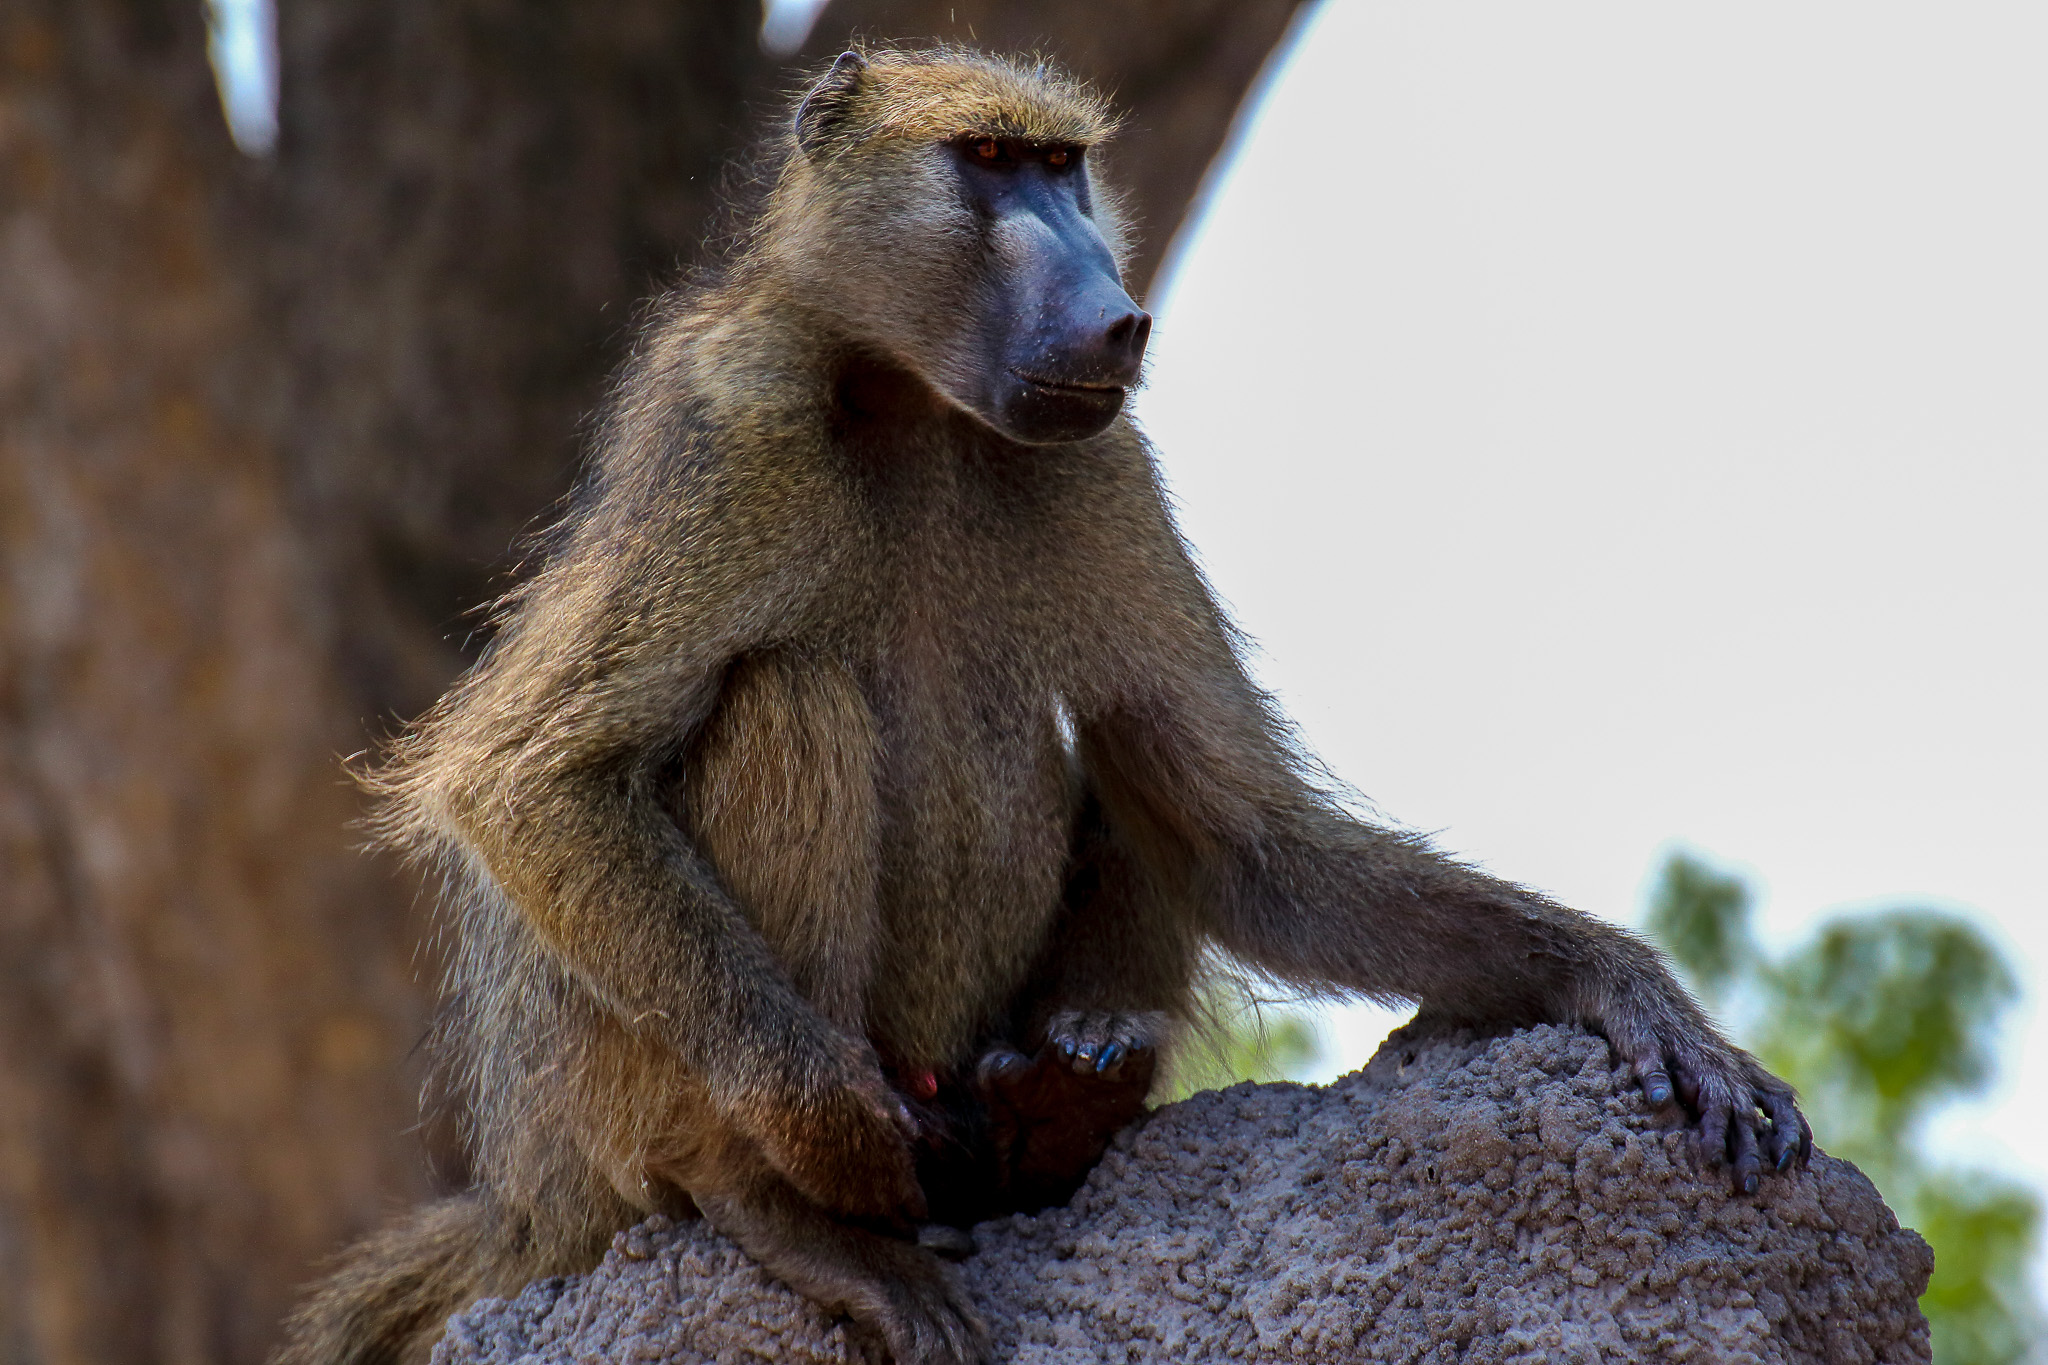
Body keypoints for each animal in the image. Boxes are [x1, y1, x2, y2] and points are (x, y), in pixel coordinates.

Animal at [275, 47, 1811, 1365]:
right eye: (988, 160)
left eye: (1065, 168)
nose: (1117, 311)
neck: (912, 403)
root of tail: (534, 1200)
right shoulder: (730, 418)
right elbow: (536, 778)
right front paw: (823, 1139)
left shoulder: (1104, 460)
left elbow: (1243, 837)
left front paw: (1631, 996)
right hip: (615, 1109)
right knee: (788, 702)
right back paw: (798, 1215)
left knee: (1134, 767)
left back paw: (1065, 1102)